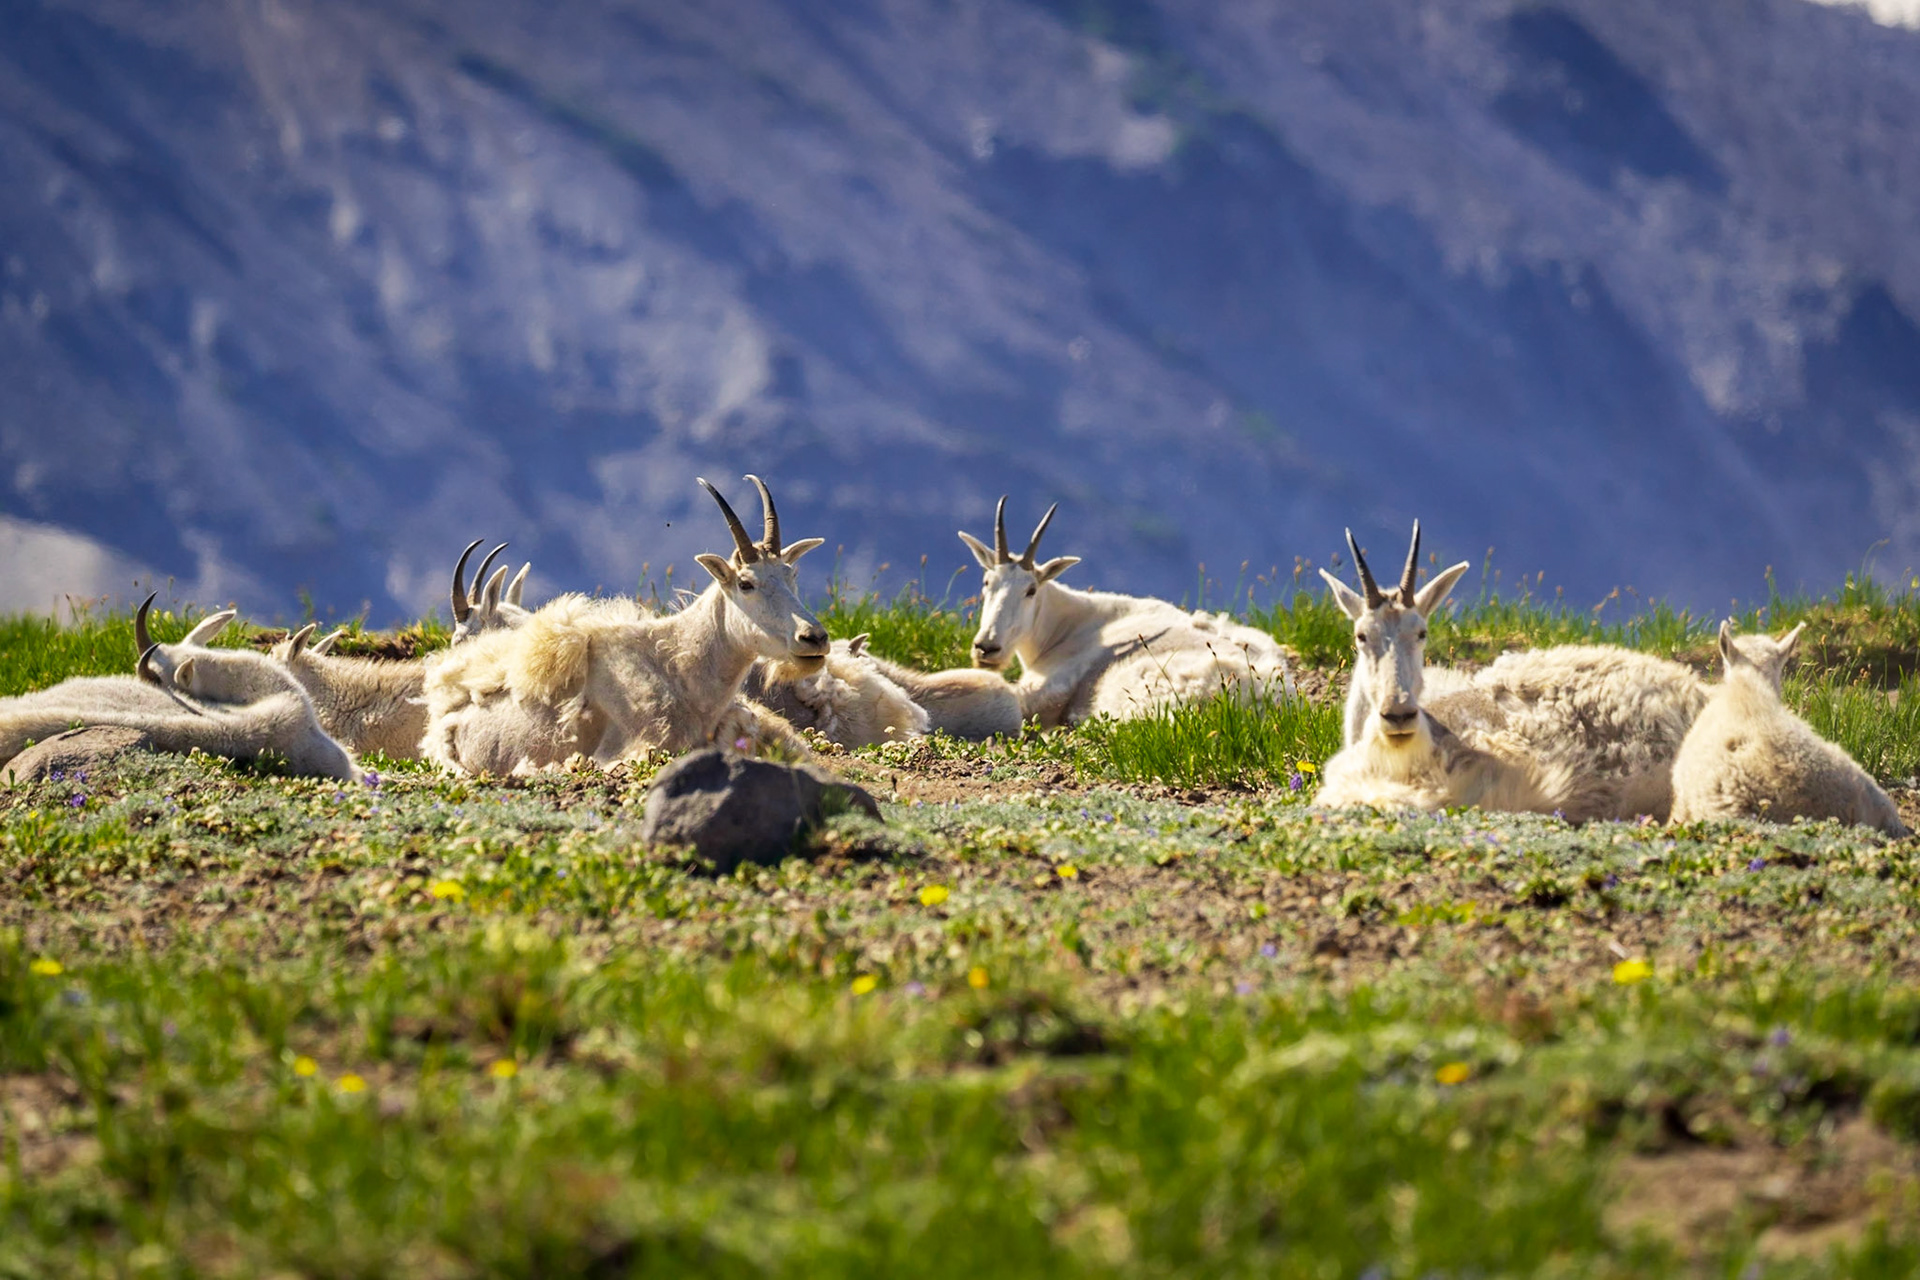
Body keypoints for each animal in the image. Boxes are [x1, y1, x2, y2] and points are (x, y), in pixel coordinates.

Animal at [959, 498, 1295, 727]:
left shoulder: (1048, 685)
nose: (986, 648)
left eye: (1030, 590)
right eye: (987, 582)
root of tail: (1258, 698)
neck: (1068, 625)